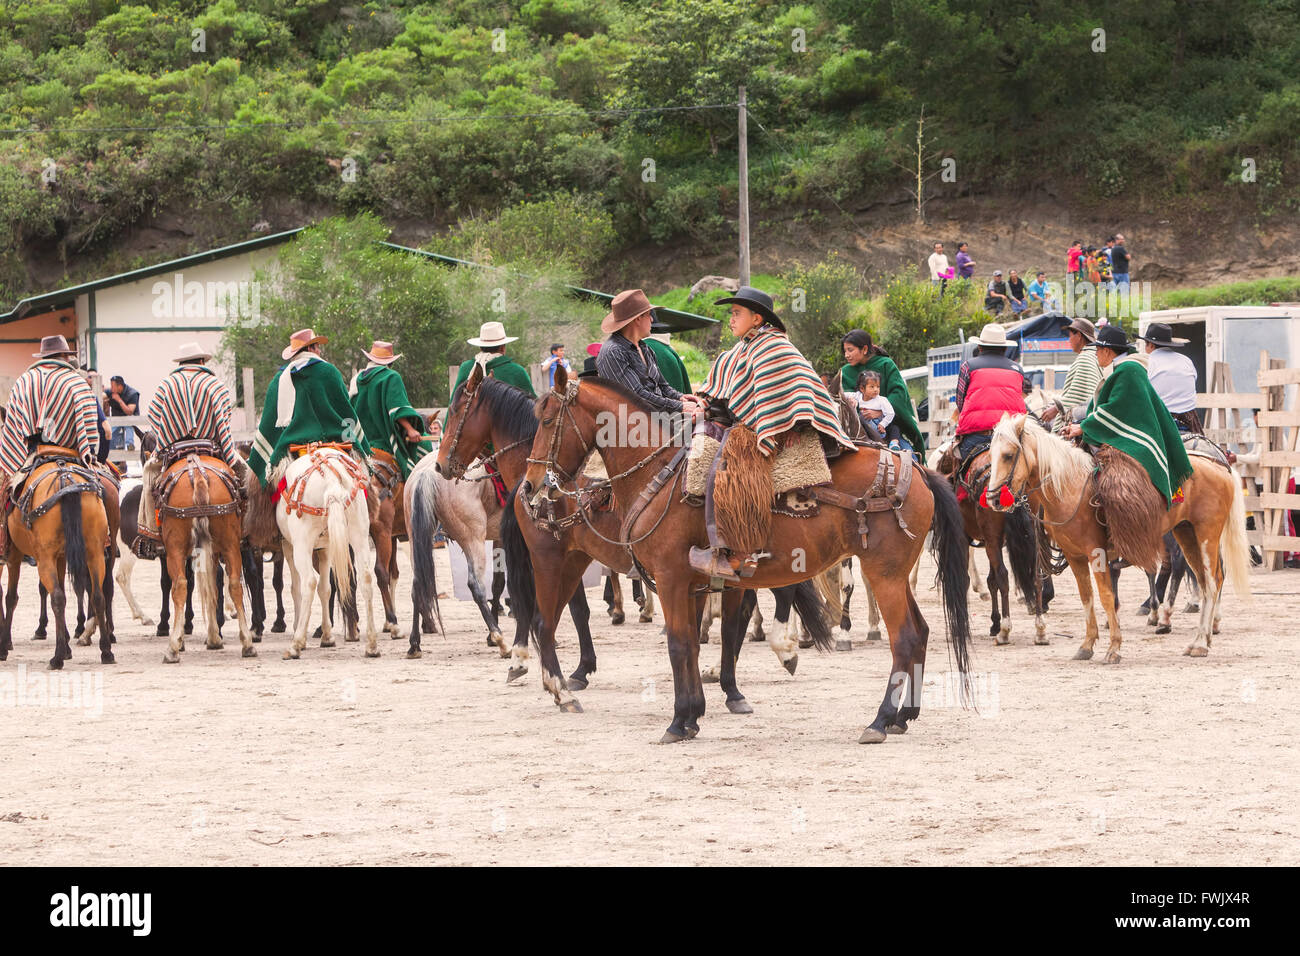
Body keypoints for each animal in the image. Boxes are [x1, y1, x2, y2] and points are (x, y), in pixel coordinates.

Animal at [0, 450, 114, 671]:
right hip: (94, 553)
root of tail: (65, 478)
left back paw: (57, 657)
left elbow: (11, 597)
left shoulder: (14, 556)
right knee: (98, 596)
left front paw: (4, 646)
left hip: (44, 559)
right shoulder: (61, 557)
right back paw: (105, 651)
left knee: (58, 598)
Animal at [153, 442, 254, 660]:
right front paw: (214, 637)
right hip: (230, 545)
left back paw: (173, 648)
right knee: (235, 585)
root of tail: (198, 474)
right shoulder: (214, 552)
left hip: (175, 549)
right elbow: (213, 585)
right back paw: (247, 643)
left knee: (180, 586)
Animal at [274, 444, 377, 660]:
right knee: (365, 578)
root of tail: (331, 480)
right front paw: (327, 635)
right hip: (359, 534)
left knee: (308, 583)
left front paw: (301, 632)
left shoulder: (289, 546)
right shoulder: (327, 548)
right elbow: (326, 588)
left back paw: (295, 645)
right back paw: (372, 645)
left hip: (302, 544)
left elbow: (298, 588)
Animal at [522, 369, 972, 743]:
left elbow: (680, 644)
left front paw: (678, 721)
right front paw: (693, 715)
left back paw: (879, 720)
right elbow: (693, 643)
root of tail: (918, 470)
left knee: (906, 637)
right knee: (921, 632)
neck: (661, 474)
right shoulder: (692, 585)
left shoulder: (671, 579)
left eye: (546, 420)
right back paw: (903, 717)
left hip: (884, 575)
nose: (530, 486)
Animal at [982, 416, 1248, 660]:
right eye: (992, 455)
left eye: (1008, 455)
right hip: (1186, 533)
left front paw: (1114, 647)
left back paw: (1199, 641)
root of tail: (1219, 465)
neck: (1070, 486)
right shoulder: (1075, 555)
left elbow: (1106, 596)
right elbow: (1087, 597)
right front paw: (1087, 645)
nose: (993, 499)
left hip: (1206, 536)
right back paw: (1200, 638)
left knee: (1211, 582)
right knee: (1203, 581)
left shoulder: (1096, 552)